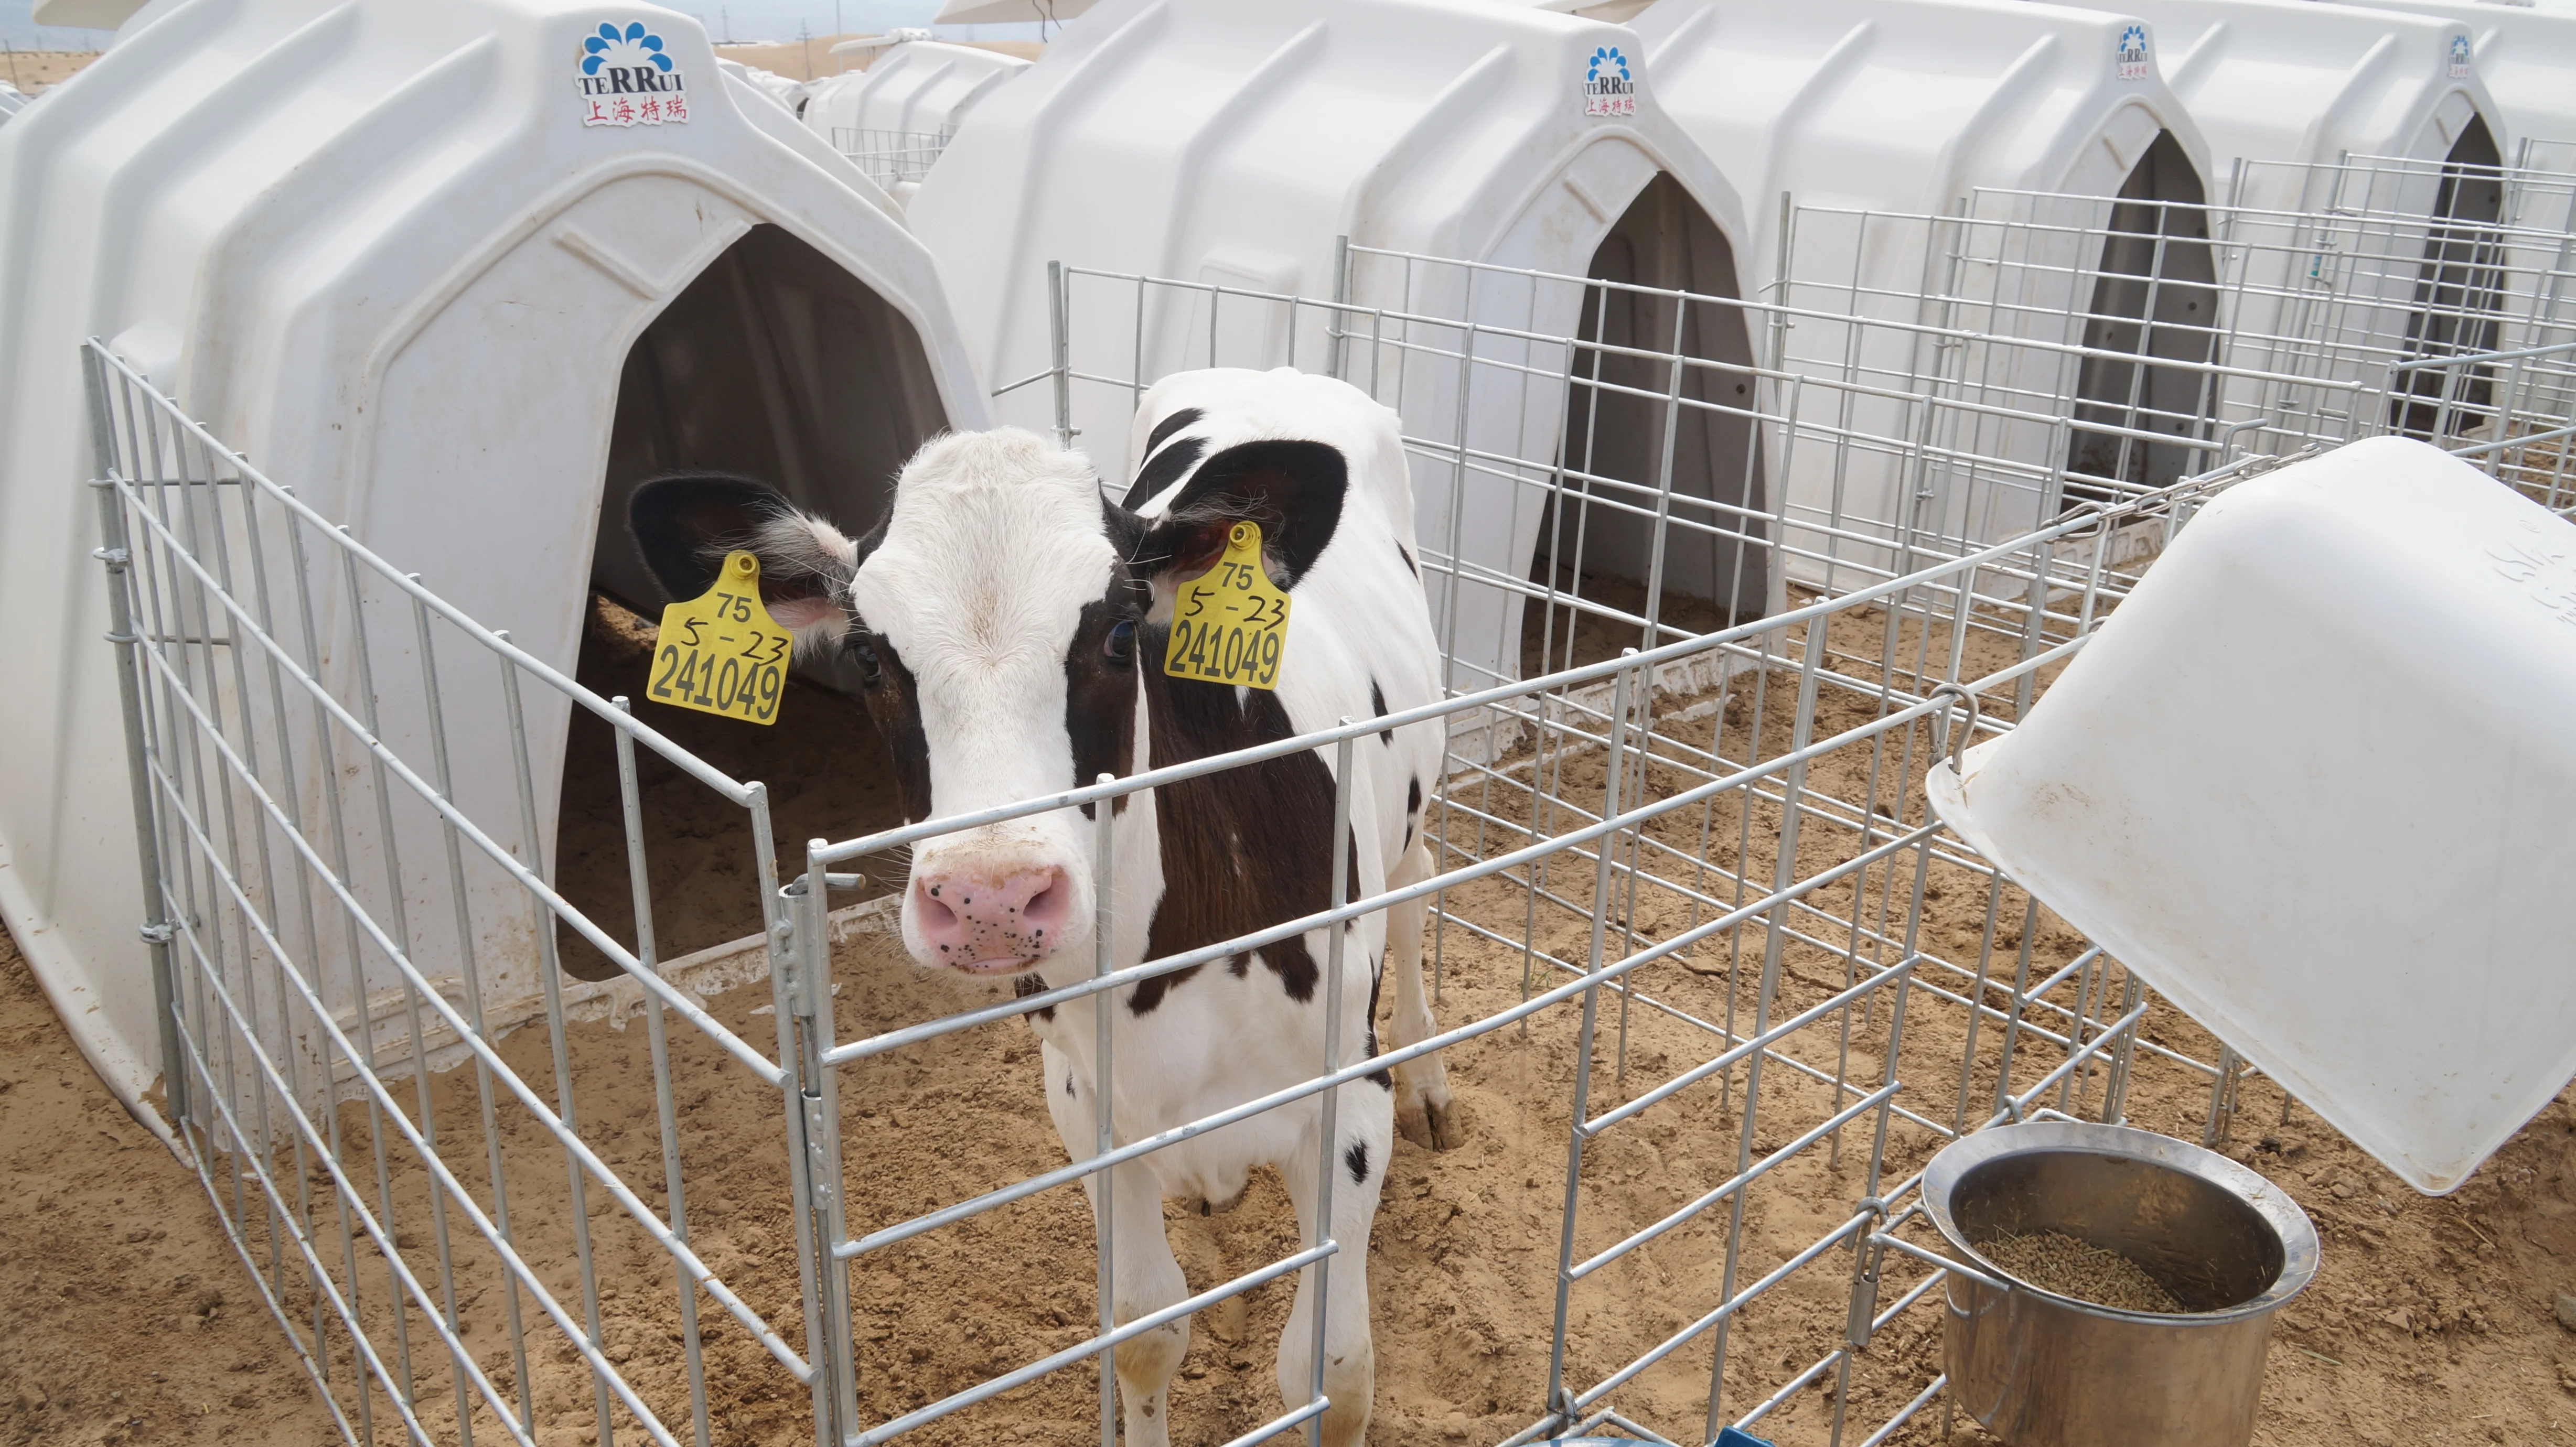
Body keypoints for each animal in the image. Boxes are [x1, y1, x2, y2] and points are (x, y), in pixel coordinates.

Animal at [627, 367, 1460, 1447]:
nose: (990, 896)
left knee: (1414, 892)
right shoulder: (1083, 1102)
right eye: (867, 657)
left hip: (1411, 808)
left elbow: (1334, 1370)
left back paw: (1433, 1077)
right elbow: (1145, 1330)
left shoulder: (1348, 1100)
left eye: (1119, 630)